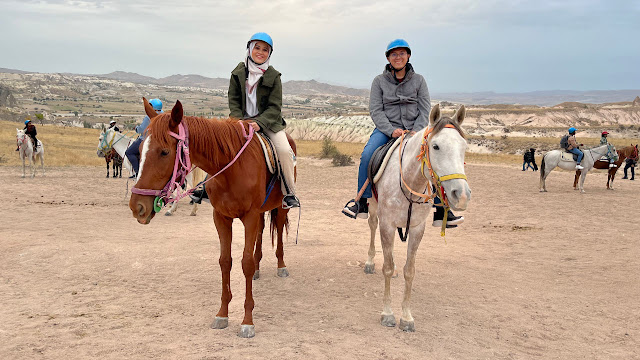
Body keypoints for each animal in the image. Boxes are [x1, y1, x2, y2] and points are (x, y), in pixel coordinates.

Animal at [128, 98, 298, 338]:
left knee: (280, 229)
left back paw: (281, 266)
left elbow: (244, 262)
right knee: (262, 232)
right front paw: (222, 314)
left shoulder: (249, 216)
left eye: (164, 152)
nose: (137, 207)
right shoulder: (221, 217)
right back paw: (258, 268)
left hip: (281, 207)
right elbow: (225, 262)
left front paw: (247, 321)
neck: (230, 170)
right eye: (141, 149)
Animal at [364, 105, 470, 332]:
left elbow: (409, 271)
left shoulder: (417, 228)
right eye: (436, 146)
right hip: (374, 208)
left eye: (464, 146)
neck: (410, 181)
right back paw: (369, 262)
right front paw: (388, 314)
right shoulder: (387, 224)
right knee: (372, 226)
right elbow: (386, 267)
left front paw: (406, 317)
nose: (462, 195)